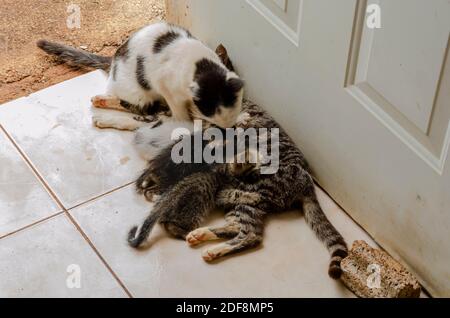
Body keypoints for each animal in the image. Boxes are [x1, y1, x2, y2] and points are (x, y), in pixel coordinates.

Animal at [37, 21, 244, 129]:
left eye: (234, 105)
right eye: (208, 110)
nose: (228, 126)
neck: (201, 66)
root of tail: (113, 61)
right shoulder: (165, 85)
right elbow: (179, 113)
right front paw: (185, 122)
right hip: (141, 94)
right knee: (133, 107)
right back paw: (102, 104)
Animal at [127, 100, 348, 280]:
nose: (146, 117)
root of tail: (306, 180)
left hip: (255, 189)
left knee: (250, 233)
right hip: (246, 198)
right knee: (239, 226)